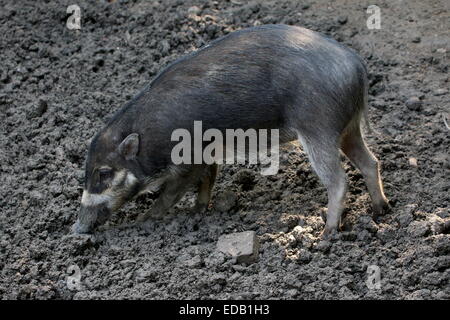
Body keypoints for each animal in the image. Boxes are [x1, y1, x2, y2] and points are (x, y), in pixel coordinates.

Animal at [72, 24, 388, 235]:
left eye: (103, 173)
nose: (76, 229)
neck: (149, 138)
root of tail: (357, 65)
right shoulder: (207, 153)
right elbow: (208, 179)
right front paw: (198, 211)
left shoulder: (189, 158)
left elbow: (173, 192)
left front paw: (143, 221)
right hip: (346, 129)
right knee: (370, 162)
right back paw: (380, 210)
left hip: (318, 128)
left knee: (339, 180)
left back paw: (326, 233)